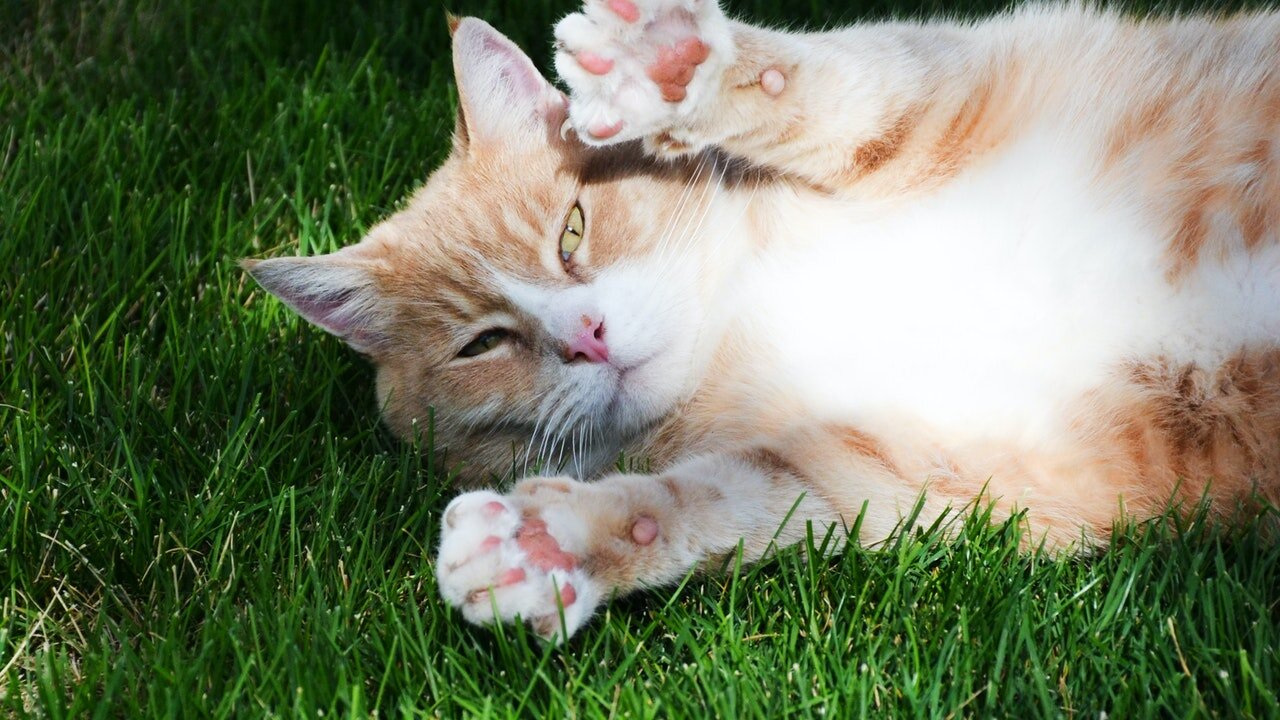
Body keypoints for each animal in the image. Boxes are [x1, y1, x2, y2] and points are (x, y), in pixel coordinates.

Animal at [241, 0, 1280, 638]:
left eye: (572, 230)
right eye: (482, 343)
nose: (586, 338)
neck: (749, 306)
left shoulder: (935, 90)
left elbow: (833, 89)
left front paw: (669, 72)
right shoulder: (911, 471)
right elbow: (708, 505)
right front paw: (551, 543)